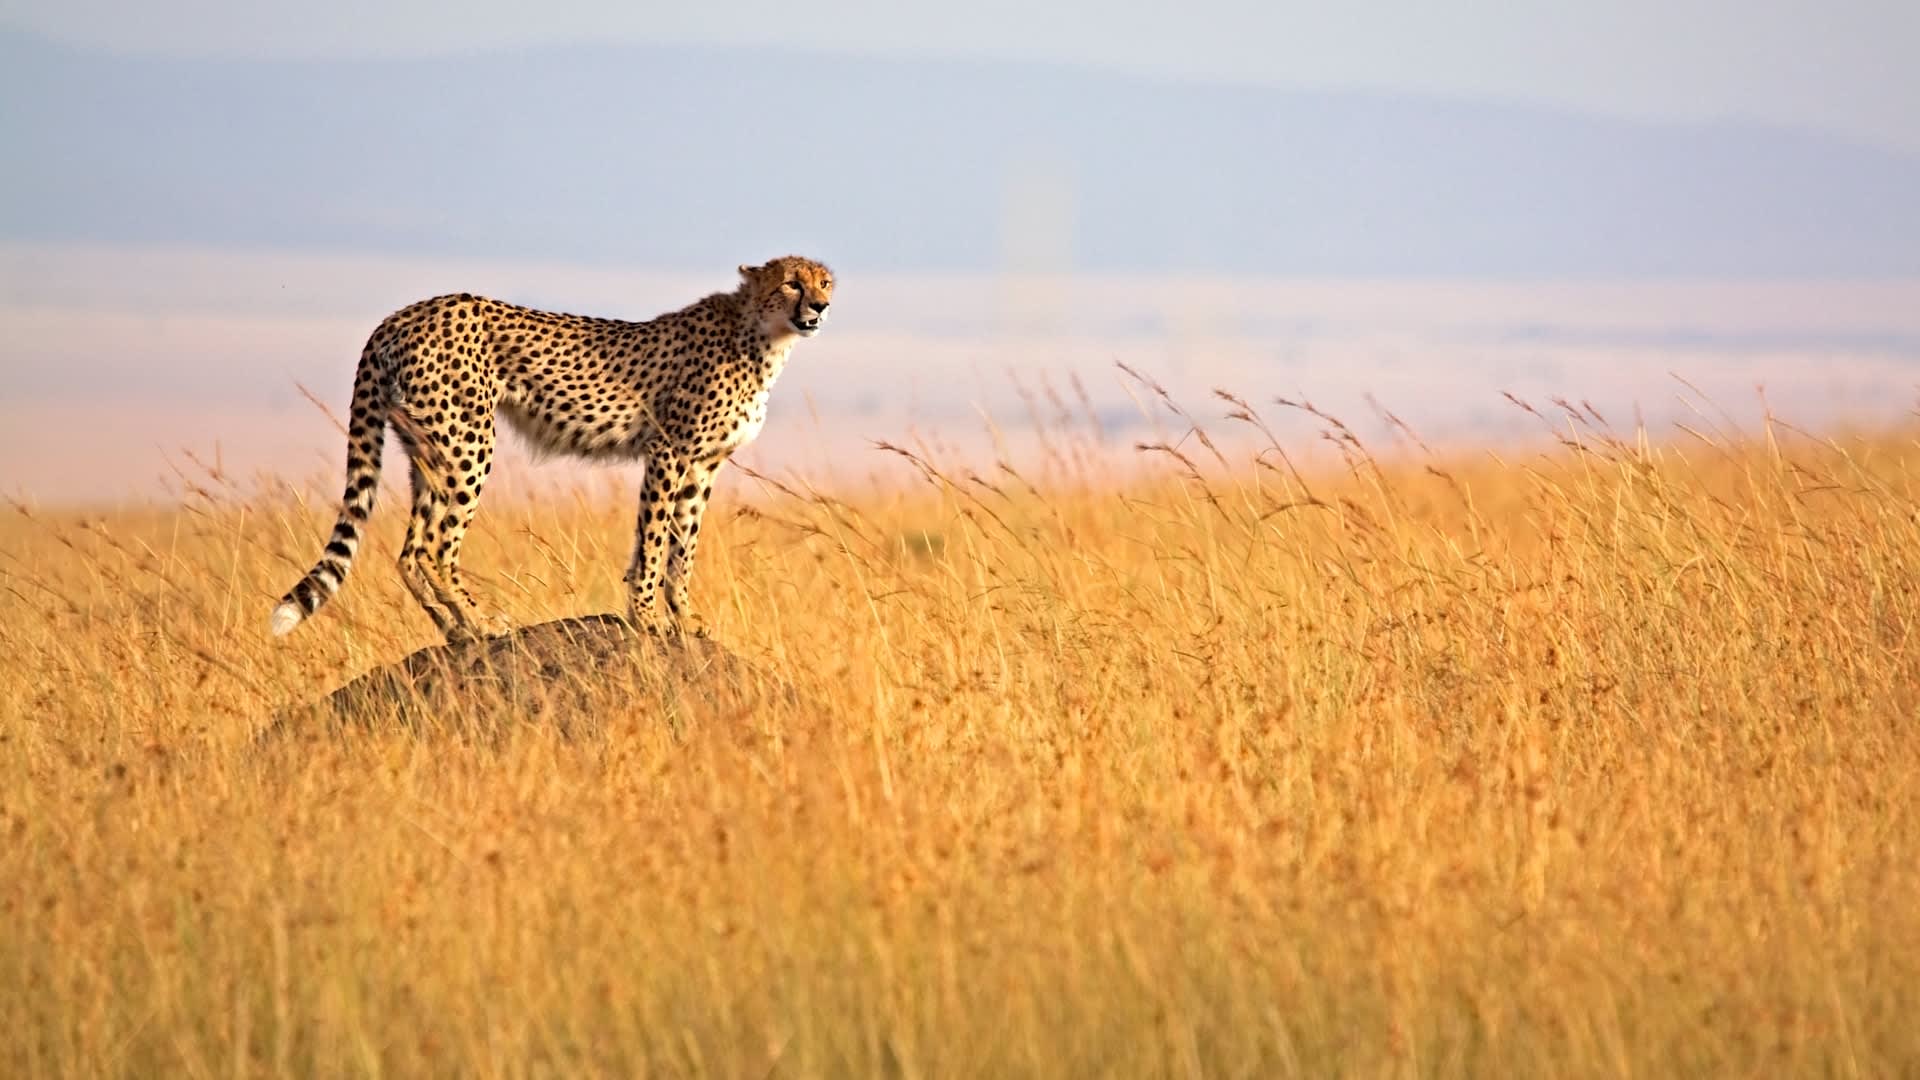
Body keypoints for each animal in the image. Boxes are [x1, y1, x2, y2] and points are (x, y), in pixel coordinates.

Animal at [270, 255, 834, 643]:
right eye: (791, 281)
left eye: (824, 281)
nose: (821, 307)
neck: (762, 336)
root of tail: (404, 313)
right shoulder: (669, 451)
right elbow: (655, 540)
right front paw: (647, 617)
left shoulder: (702, 465)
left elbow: (681, 546)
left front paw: (684, 617)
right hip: (469, 442)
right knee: (436, 546)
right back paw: (483, 622)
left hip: (428, 448)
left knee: (410, 551)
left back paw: (454, 631)